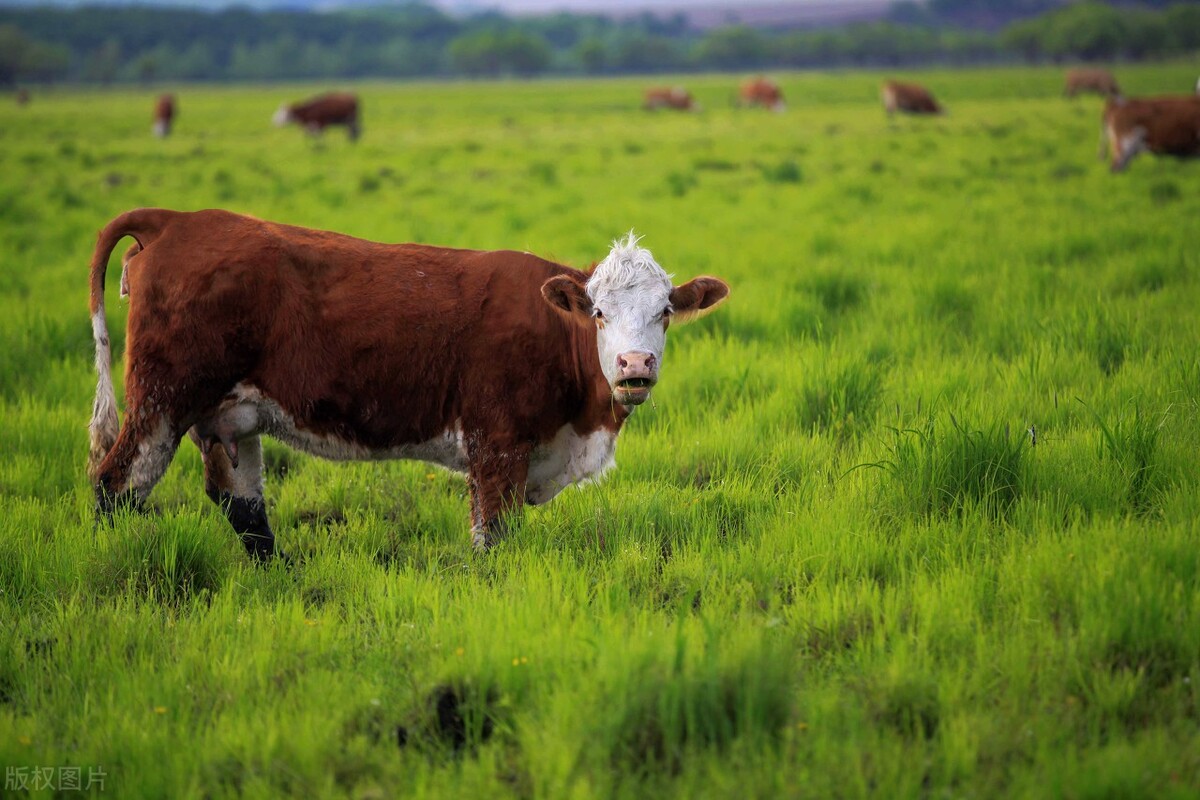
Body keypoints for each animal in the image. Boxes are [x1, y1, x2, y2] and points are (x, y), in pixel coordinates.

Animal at [87, 209, 729, 561]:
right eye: (597, 312)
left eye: (665, 312)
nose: (633, 364)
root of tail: (175, 220)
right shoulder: (497, 446)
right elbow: (493, 536)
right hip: (160, 404)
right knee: (115, 484)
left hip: (228, 419)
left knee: (246, 512)